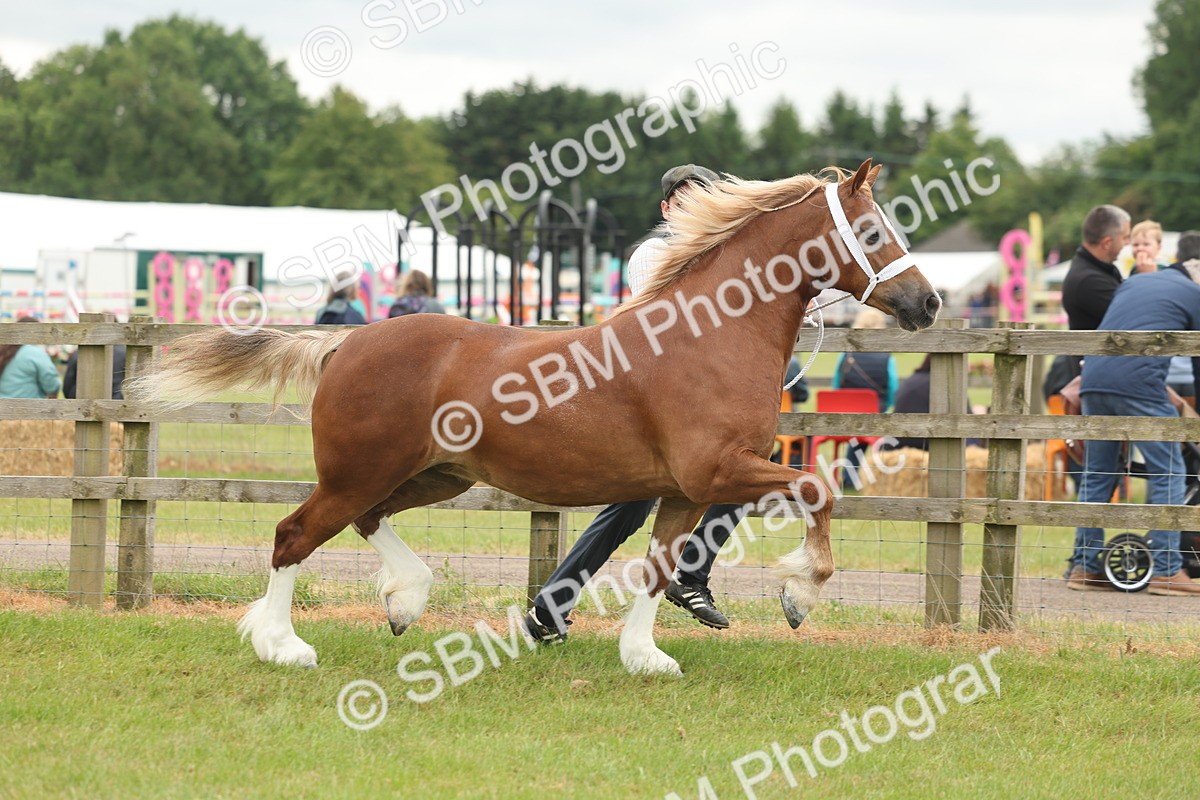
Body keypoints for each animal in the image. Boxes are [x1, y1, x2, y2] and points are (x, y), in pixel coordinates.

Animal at [131, 159, 940, 675]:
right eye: (874, 233)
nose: (927, 303)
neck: (706, 337)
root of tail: (345, 343)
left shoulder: (685, 489)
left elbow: (659, 566)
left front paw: (646, 657)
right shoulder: (719, 471)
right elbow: (817, 490)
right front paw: (798, 594)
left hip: (437, 476)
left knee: (363, 522)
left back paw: (404, 601)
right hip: (361, 472)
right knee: (293, 535)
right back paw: (285, 647)